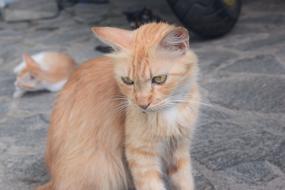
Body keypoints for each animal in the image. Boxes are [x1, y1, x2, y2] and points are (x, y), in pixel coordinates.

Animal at [37, 22, 200, 190]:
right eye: (128, 81)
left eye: (159, 79)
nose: (143, 104)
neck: (168, 112)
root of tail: (54, 180)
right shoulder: (140, 155)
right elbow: (152, 184)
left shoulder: (179, 149)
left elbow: (185, 182)